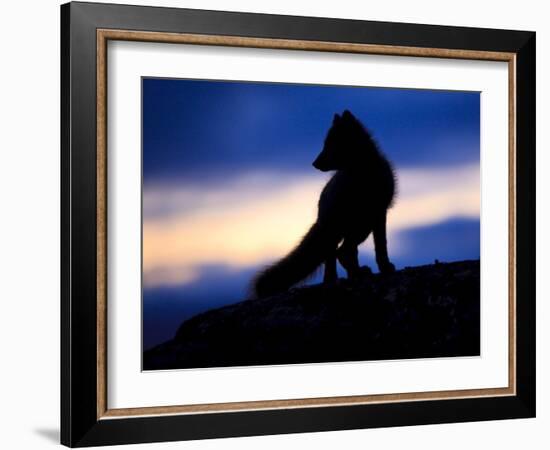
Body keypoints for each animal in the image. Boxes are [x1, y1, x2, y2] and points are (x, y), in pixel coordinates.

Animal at [254, 110, 396, 298]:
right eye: (325, 144)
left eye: (331, 144)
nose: (314, 164)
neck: (362, 176)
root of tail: (319, 213)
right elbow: (373, 247)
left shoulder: (379, 212)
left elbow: (381, 246)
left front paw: (385, 267)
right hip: (348, 230)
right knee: (339, 253)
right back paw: (343, 278)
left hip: (360, 228)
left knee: (343, 253)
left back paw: (350, 275)